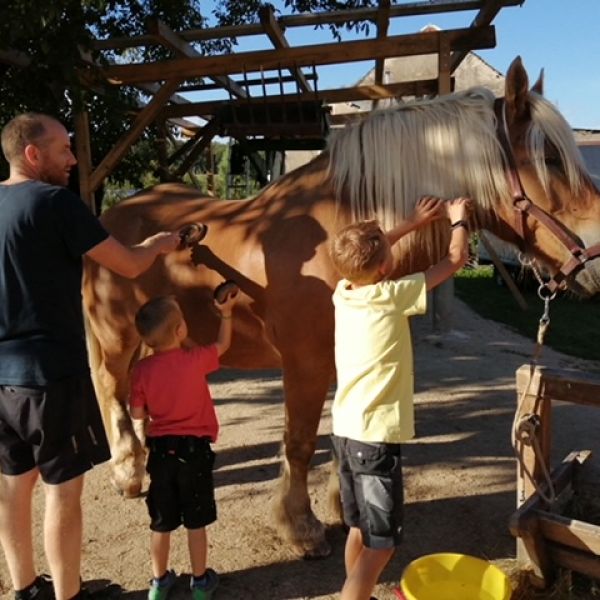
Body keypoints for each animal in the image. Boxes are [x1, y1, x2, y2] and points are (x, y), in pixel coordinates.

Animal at [83, 57, 600, 556]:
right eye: (550, 159)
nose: (596, 256)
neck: (333, 237)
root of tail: (111, 218)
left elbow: (345, 427)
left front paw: (343, 506)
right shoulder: (305, 365)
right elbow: (299, 442)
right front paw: (301, 527)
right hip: (116, 336)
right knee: (111, 388)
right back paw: (129, 474)